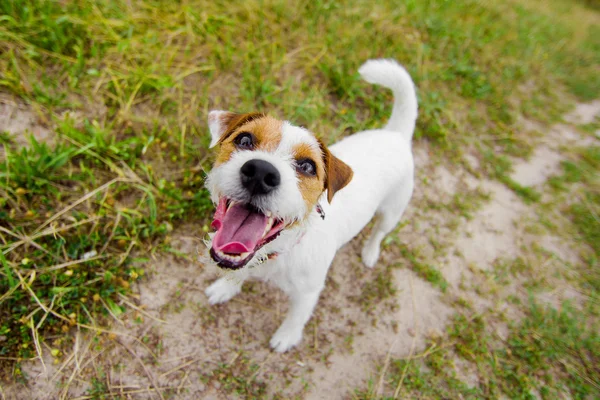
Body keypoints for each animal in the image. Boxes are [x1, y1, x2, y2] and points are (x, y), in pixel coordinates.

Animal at [204, 57, 414, 352]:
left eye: (307, 166)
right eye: (244, 140)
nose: (260, 173)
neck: (282, 249)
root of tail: (395, 135)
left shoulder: (308, 292)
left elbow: (296, 316)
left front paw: (286, 336)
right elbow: (239, 273)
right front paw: (225, 287)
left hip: (392, 211)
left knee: (379, 232)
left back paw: (370, 252)